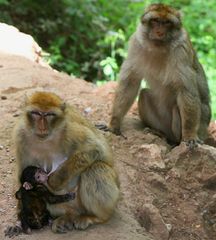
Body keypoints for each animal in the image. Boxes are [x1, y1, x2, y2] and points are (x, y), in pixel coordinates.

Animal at [6, 92, 120, 236]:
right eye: (36, 113)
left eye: (49, 115)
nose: (42, 127)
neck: (46, 139)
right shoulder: (20, 136)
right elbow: (23, 174)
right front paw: (19, 222)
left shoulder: (69, 130)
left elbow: (95, 149)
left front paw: (53, 181)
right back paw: (67, 217)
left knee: (96, 168)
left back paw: (96, 217)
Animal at [109, 2, 211, 147]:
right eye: (156, 20)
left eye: (167, 22)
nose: (159, 32)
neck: (159, 47)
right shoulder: (136, 42)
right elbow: (130, 83)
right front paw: (114, 124)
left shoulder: (181, 49)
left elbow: (186, 91)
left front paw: (190, 135)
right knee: (144, 94)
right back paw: (160, 133)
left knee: (178, 106)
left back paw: (176, 140)